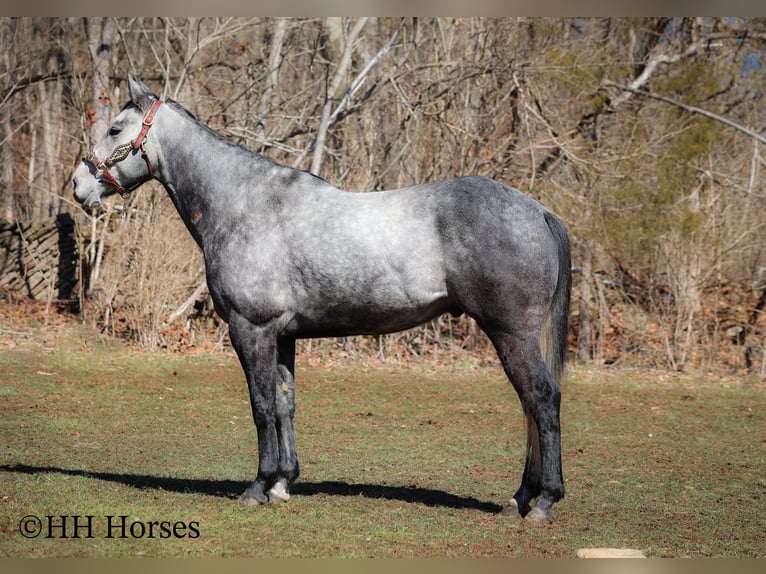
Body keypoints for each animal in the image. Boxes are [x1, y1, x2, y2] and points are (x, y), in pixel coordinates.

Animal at [72, 75, 571, 523]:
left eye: (115, 128)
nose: (79, 186)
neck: (244, 205)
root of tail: (537, 210)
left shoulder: (250, 329)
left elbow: (261, 406)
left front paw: (258, 486)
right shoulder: (283, 335)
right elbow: (284, 403)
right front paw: (282, 483)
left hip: (511, 333)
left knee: (541, 398)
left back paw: (543, 501)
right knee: (530, 404)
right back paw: (520, 498)